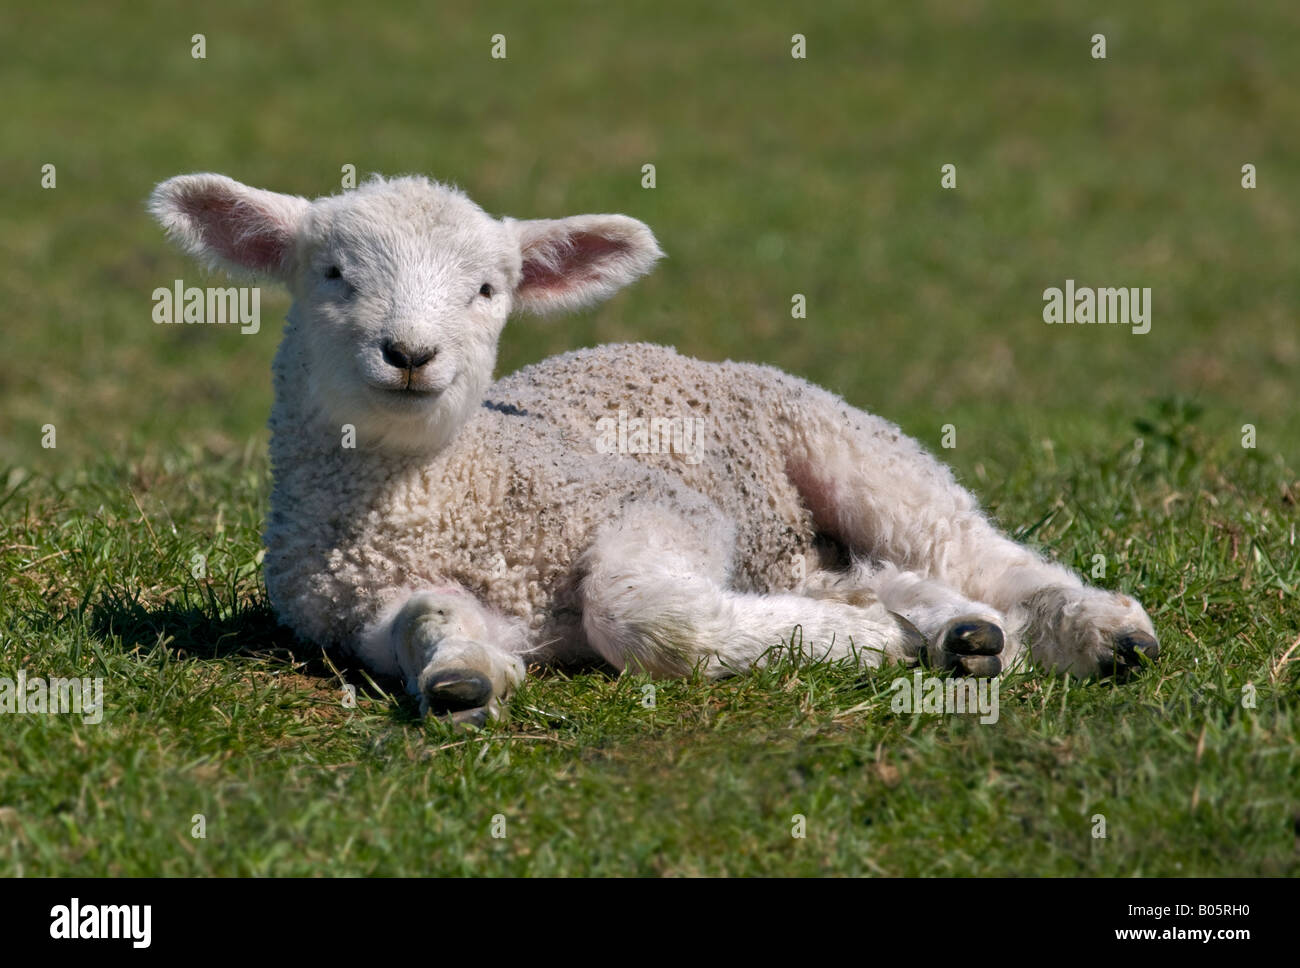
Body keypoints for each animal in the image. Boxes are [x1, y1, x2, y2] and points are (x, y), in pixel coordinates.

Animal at [149, 174, 1159, 722]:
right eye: (332, 274)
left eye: (487, 289)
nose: (409, 354)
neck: (444, 494)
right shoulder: (353, 605)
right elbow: (425, 622)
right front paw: (461, 677)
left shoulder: (659, 506)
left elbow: (641, 617)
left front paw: (868, 644)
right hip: (782, 542)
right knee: (883, 573)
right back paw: (959, 632)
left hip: (844, 441)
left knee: (968, 545)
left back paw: (1093, 630)